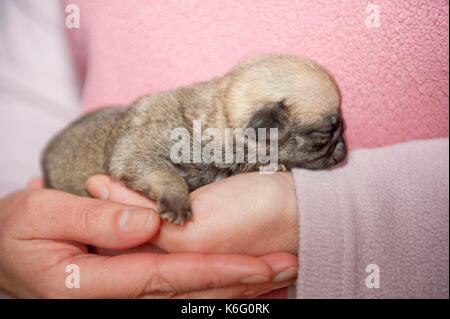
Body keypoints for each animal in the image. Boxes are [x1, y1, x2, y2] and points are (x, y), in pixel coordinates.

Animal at [41, 53, 344, 225]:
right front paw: (176, 200)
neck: (217, 118)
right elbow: (166, 175)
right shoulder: (141, 153)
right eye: (323, 133)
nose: (343, 147)